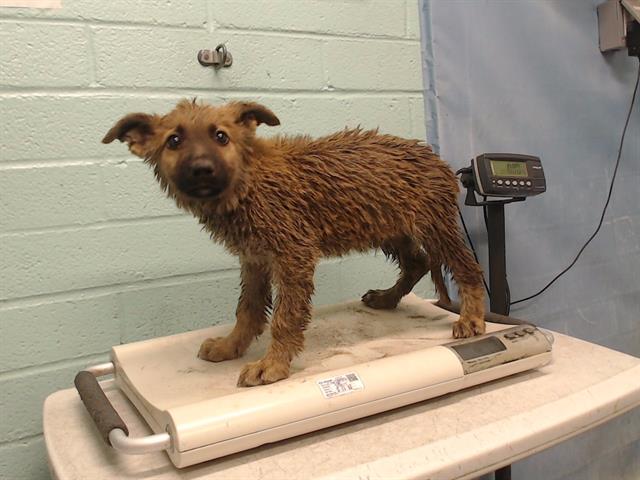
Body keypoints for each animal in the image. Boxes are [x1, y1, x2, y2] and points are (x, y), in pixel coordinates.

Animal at [103, 99, 485, 387]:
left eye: (221, 136)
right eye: (174, 141)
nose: (201, 169)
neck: (248, 181)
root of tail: (434, 158)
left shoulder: (293, 254)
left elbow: (284, 318)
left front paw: (271, 365)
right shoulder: (254, 258)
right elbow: (248, 309)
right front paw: (231, 345)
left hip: (431, 225)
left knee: (467, 267)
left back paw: (471, 318)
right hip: (388, 226)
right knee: (417, 262)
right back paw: (388, 298)